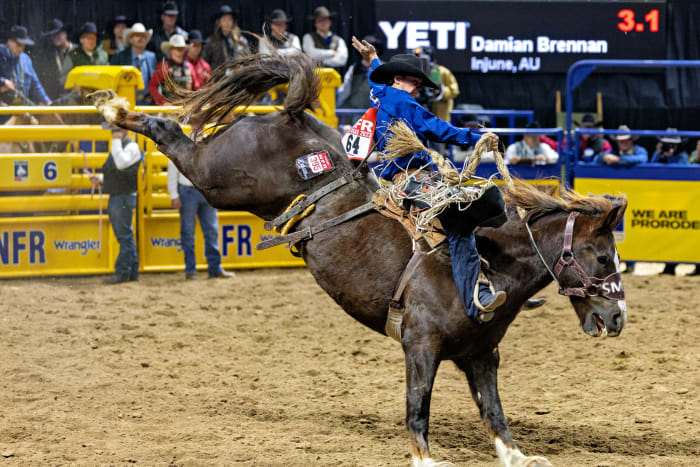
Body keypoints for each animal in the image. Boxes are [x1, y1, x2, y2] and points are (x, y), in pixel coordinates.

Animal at [87, 52, 628, 467]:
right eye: (602, 258)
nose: (618, 317)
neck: (489, 264)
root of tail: (292, 117)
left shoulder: (481, 355)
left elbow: (493, 410)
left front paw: (519, 455)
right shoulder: (421, 344)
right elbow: (417, 404)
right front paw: (426, 458)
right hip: (218, 178)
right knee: (169, 133)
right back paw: (116, 110)